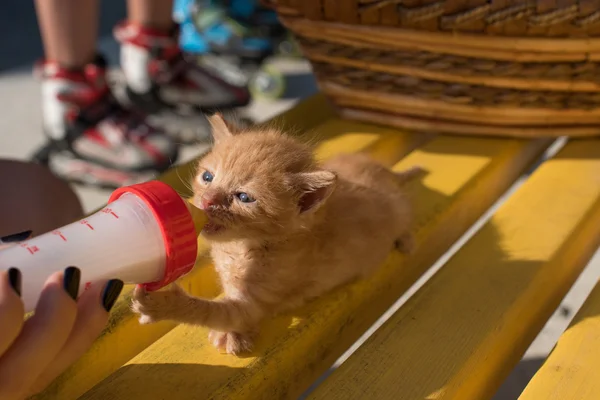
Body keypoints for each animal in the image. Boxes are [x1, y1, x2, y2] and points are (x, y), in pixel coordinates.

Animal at [133, 114, 420, 354]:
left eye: (244, 198)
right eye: (208, 177)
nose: (206, 201)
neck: (241, 247)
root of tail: (383, 170)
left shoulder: (256, 303)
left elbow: (215, 312)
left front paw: (163, 304)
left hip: (399, 208)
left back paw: (406, 240)